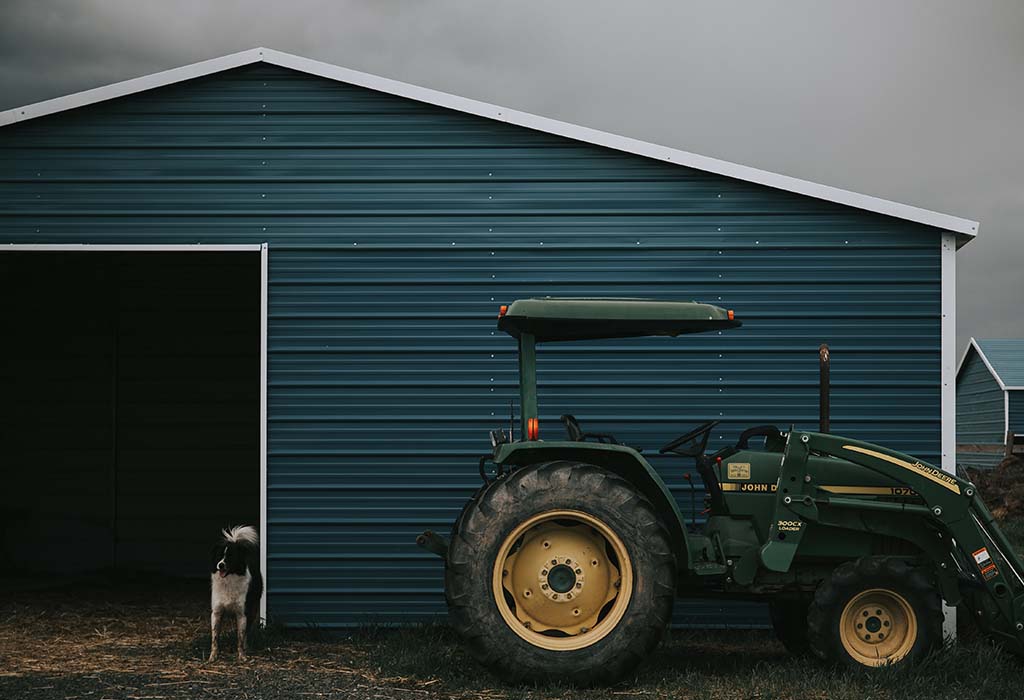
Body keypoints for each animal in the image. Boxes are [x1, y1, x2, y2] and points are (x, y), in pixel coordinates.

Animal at [207, 523, 262, 663]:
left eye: (230, 557)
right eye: (219, 556)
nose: (220, 565)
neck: (228, 581)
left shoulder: (242, 613)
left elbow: (240, 638)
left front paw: (242, 656)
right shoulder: (216, 612)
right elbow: (214, 637)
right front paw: (213, 656)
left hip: (252, 610)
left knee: (247, 632)